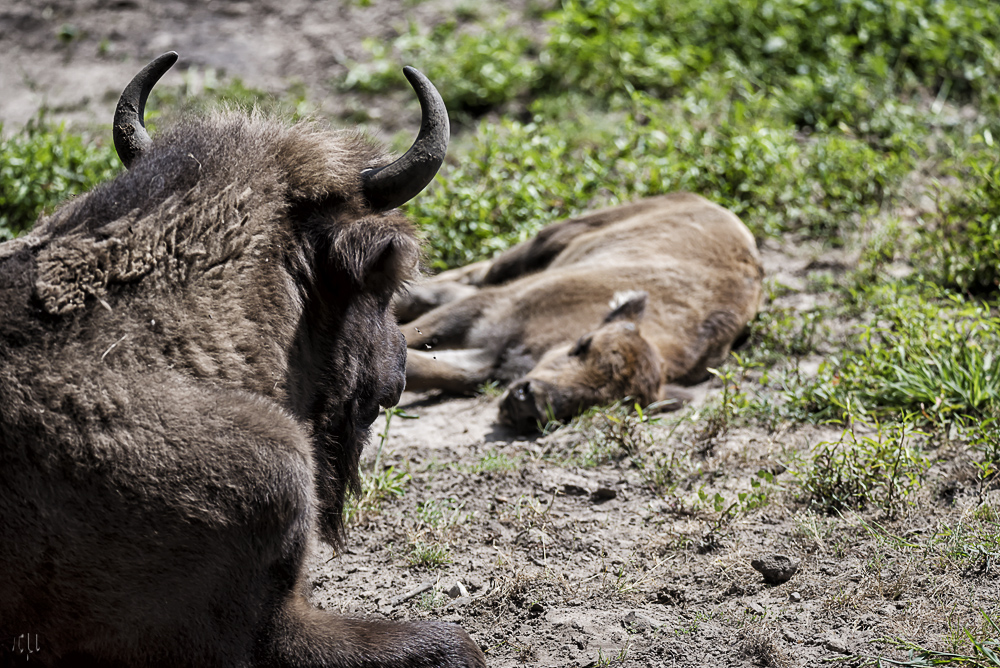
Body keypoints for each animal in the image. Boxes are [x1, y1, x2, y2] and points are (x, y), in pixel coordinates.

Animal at [394, 194, 760, 434]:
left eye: (603, 400)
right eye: (582, 345)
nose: (528, 403)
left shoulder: (486, 361)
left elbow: (426, 368)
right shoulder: (490, 309)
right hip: (549, 240)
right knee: (474, 275)